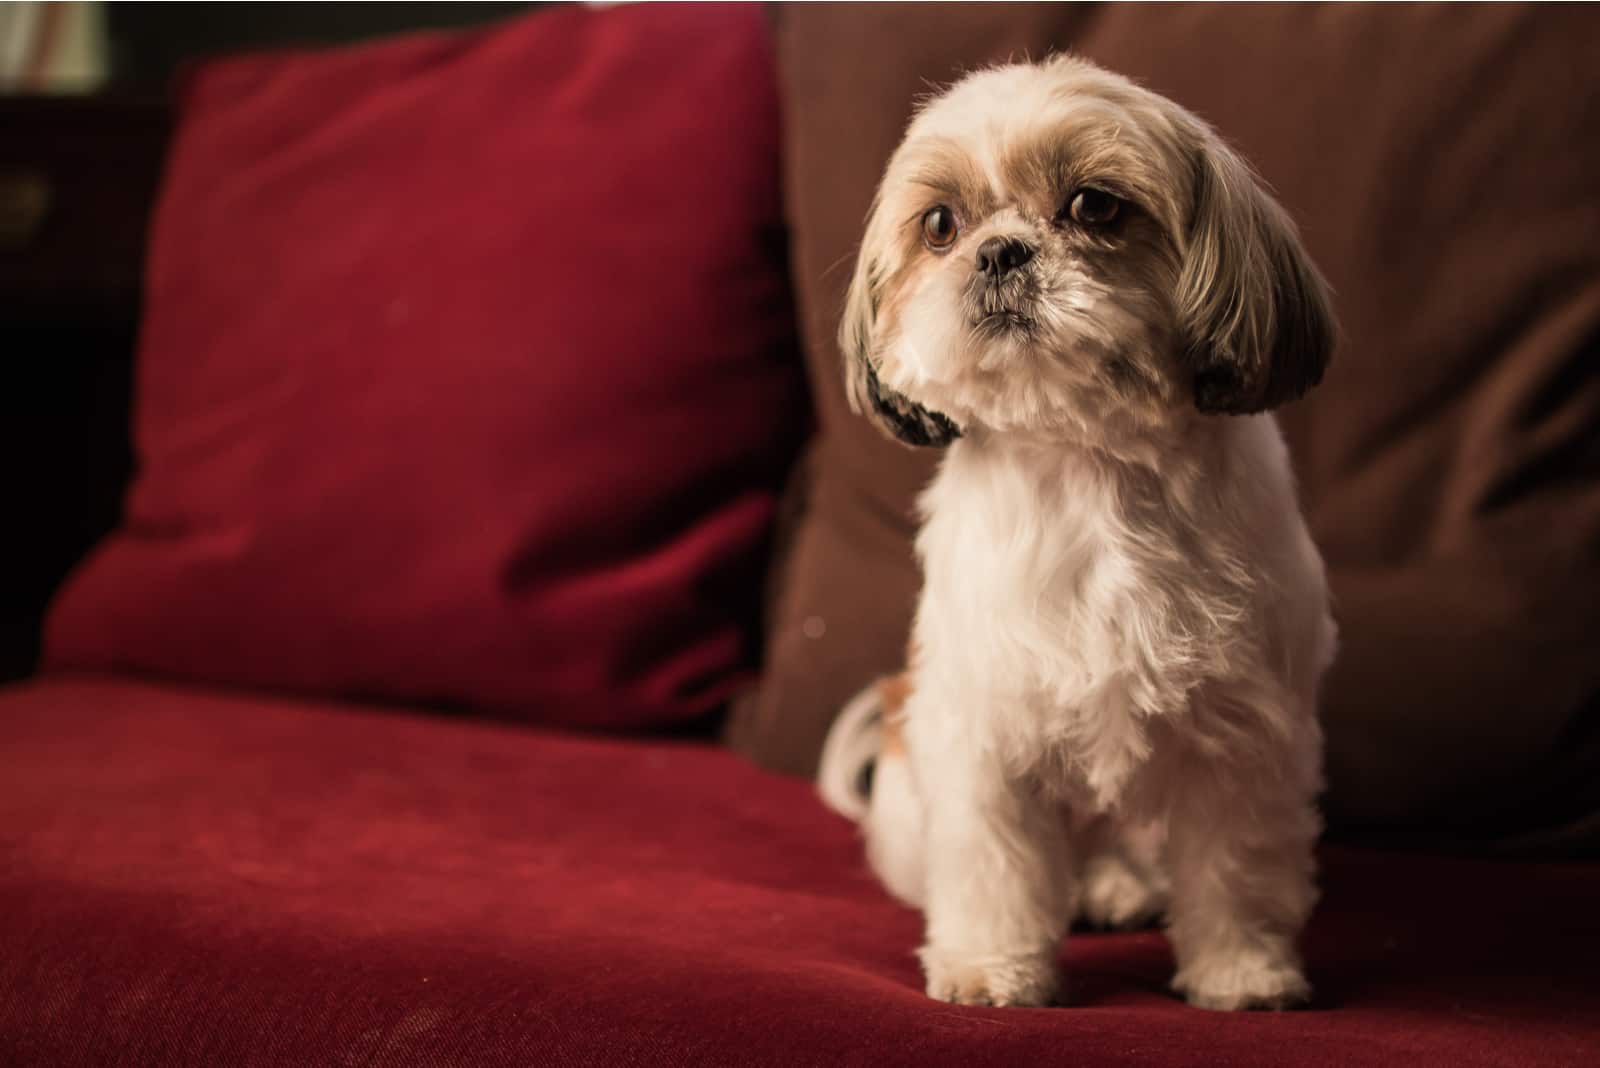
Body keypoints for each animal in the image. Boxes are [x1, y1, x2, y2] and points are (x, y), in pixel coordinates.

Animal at [812, 56, 1337, 1010]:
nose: (998, 251)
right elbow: (993, 867)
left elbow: (1236, 871)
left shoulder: (1244, 743)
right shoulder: (985, 734)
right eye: (940, 225)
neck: (1089, 465)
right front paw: (989, 970)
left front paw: (1243, 973)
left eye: (1094, 206)